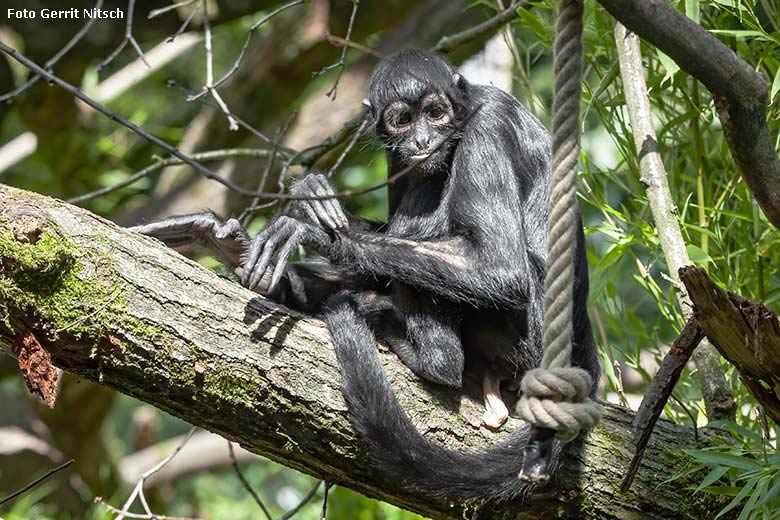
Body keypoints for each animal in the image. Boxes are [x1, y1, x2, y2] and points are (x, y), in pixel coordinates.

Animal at [133, 49, 596, 504]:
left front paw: (314, 231)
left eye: (435, 113)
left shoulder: (488, 125)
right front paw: (304, 199)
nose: (423, 141)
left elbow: (500, 268)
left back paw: (434, 360)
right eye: (403, 120)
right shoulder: (398, 157)